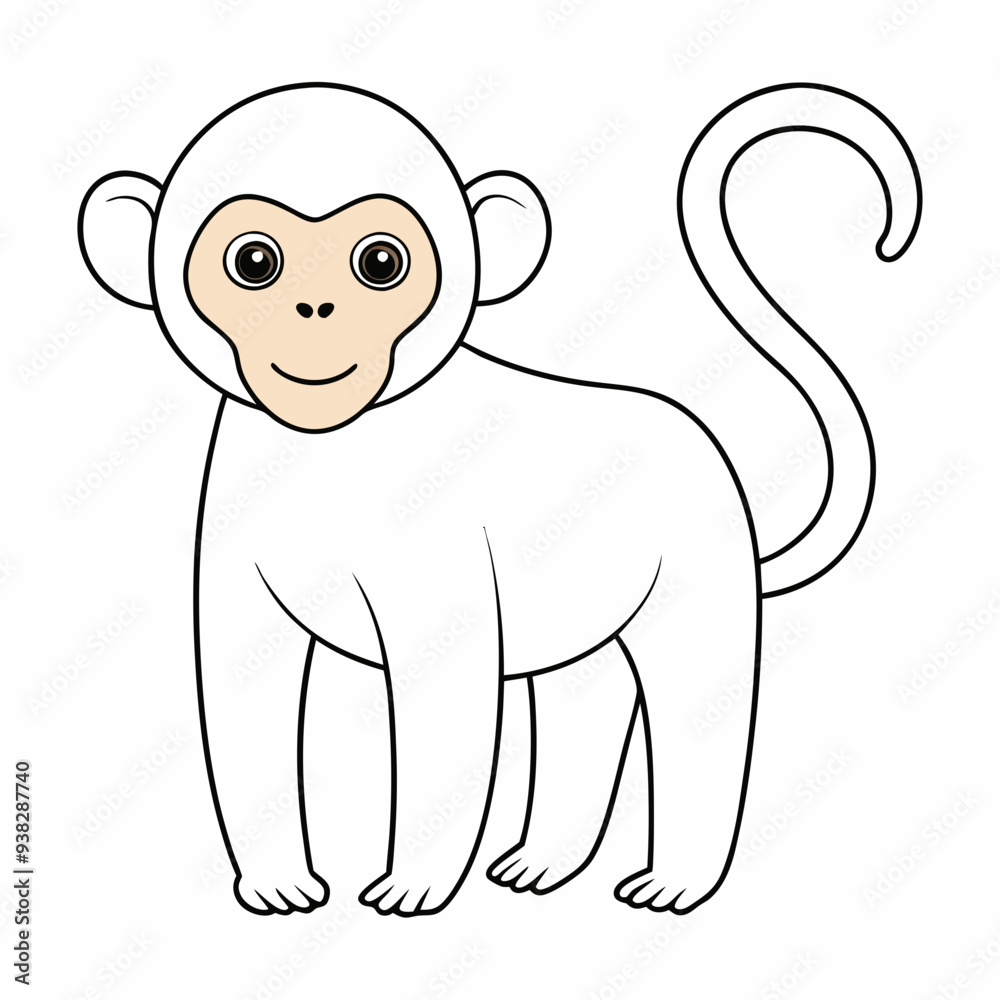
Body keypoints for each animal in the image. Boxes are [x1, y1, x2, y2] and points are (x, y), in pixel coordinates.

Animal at [78, 82, 920, 917]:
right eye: (254, 261)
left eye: (380, 261)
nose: (313, 310)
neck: (332, 451)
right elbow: (237, 704)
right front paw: (277, 886)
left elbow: (445, 706)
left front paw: (412, 888)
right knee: (586, 704)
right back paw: (542, 863)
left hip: (696, 579)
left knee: (693, 700)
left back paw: (676, 882)